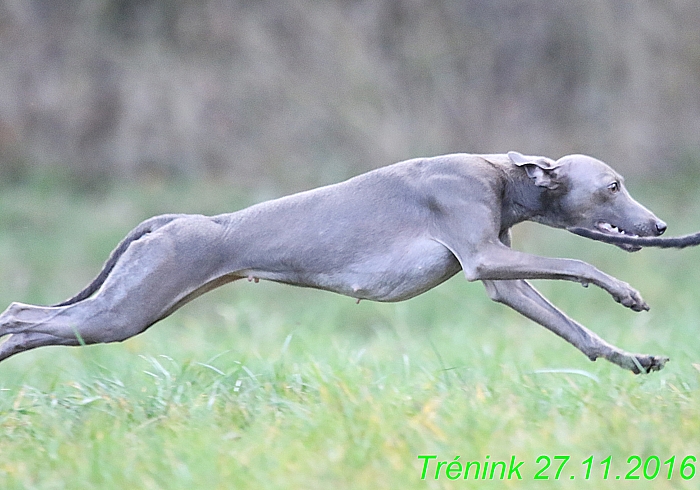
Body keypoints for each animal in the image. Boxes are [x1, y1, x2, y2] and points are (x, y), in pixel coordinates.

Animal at [0, 151, 668, 374]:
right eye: (613, 186)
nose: (660, 227)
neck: (504, 175)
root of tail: (169, 221)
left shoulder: (503, 278)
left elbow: (575, 330)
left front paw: (635, 359)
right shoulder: (483, 256)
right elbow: (578, 263)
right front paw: (627, 292)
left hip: (131, 307)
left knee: (31, 324)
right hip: (123, 312)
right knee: (20, 312)